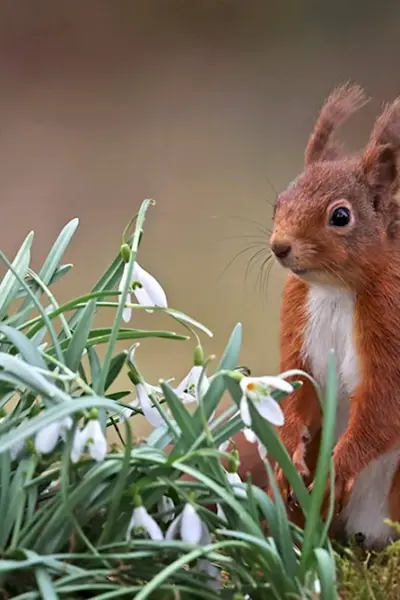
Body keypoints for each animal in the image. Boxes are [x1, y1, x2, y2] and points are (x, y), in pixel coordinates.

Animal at [266, 83, 400, 548]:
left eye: (340, 216)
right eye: (277, 203)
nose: (280, 246)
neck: (335, 289)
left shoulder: (391, 321)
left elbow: (383, 403)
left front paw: (338, 469)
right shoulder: (298, 315)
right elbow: (296, 381)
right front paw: (289, 450)